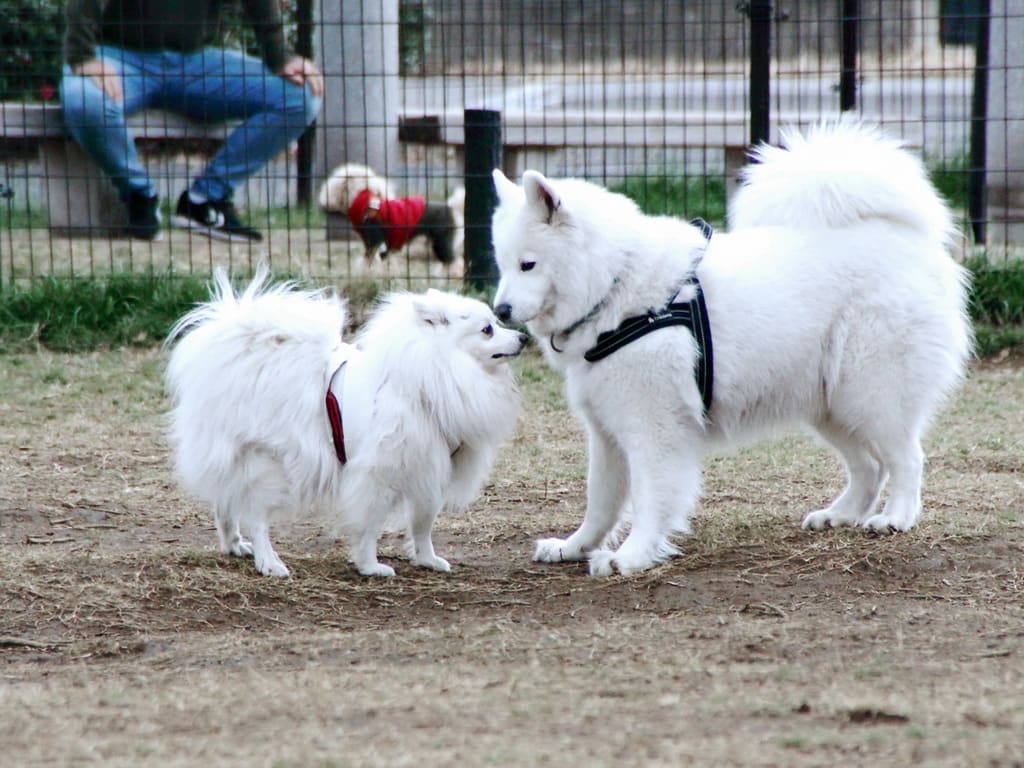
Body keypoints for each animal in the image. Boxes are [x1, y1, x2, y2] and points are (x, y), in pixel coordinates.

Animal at [165, 270, 528, 577]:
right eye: (487, 329)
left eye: (496, 322)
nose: (523, 338)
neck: (430, 372)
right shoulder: (379, 473)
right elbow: (370, 525)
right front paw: (370, 566)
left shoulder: (430, 470)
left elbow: (423, 524)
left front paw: (427, 559)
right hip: (267, 465)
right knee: (255, 517)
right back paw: (269, 562)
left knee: (225, 501)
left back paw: (234, 545)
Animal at [317, 162, 466, 270]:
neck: (364, 203)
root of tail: (452, 208)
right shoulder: (370, 245)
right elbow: (368, 263)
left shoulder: (377, 243)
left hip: (442, 241)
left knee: (455, 263)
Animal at [491, 120, 970, 577]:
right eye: (502, 264)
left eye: (528, 264)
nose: (500, 311)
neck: (616, 286)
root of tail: (902, 238)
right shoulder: (606, 432)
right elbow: (600, 503)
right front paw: (574, 547)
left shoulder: (653, 429)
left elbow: (649, 500)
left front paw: (632, 556)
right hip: (830, 405)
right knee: (869, 467)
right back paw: (840, 514)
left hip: (872, 396)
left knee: (906, 459)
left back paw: (896, 517)